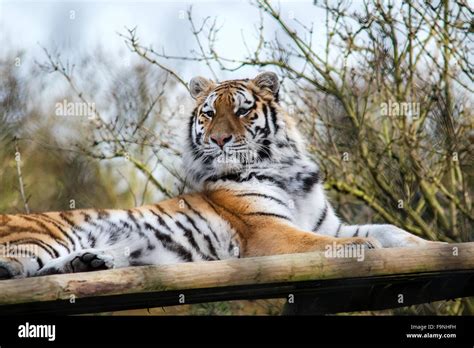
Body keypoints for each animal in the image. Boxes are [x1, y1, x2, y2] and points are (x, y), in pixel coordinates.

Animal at [0, 71, 436, 280]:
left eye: (242, 110)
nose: (220, 138)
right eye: (209, 113)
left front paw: (429, 245)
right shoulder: (268, 231)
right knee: (18, 266)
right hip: (42, 237)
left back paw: (91, 262)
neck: (287, 171)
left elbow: (388, 230)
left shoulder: (327, 224)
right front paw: (365, 250)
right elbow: (327, 244)